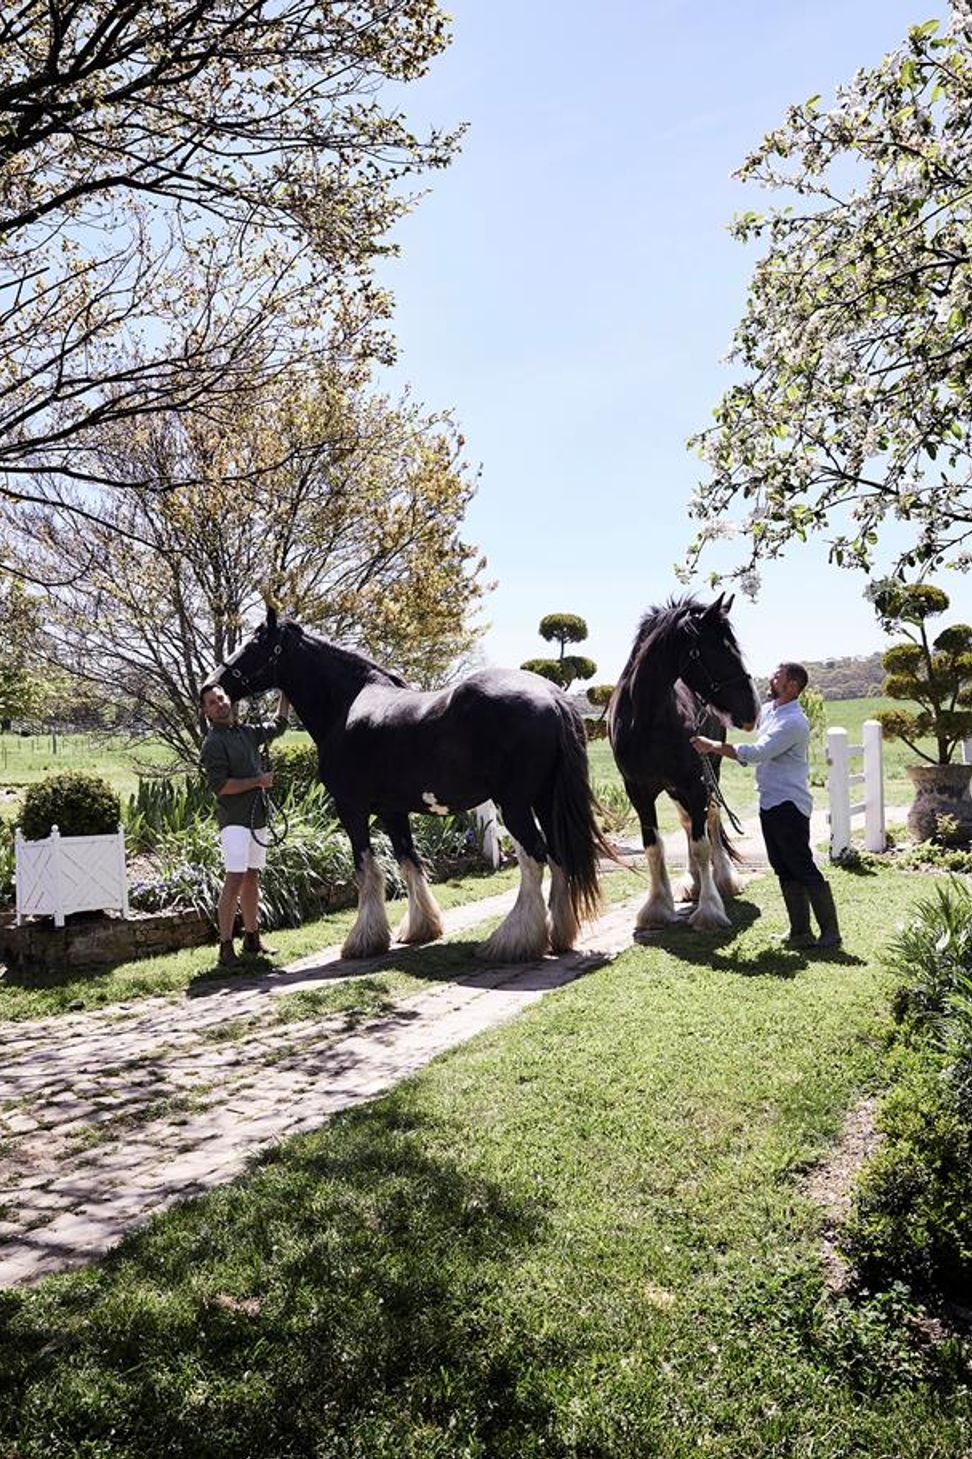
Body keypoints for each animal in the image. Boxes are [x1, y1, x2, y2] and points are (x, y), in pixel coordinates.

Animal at [203, 609, 610, 963]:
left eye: (256, 643)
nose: (212, 687)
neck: (346, 705)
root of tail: (553, 698)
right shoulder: (393, 811)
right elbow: (409, 863)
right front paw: (421, 928)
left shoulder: (351, 808)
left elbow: (366, 870)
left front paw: (363, 940)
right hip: (543, 800)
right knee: (557, 856)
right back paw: (559, 934)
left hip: (514, 805)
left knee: (534, 859)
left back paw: (512, 941)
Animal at [608, 594, 760, 932]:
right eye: (717, 651)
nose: (754, 710)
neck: (646, 719)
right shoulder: (638, 791)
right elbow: (654, 847)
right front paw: (656, 907)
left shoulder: (695, 783)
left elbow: (702, 844)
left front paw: (710, 909)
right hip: (675, 788)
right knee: (688, 822)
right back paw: (693, 882)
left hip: (709, 772)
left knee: (711, 819)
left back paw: (723, 879)